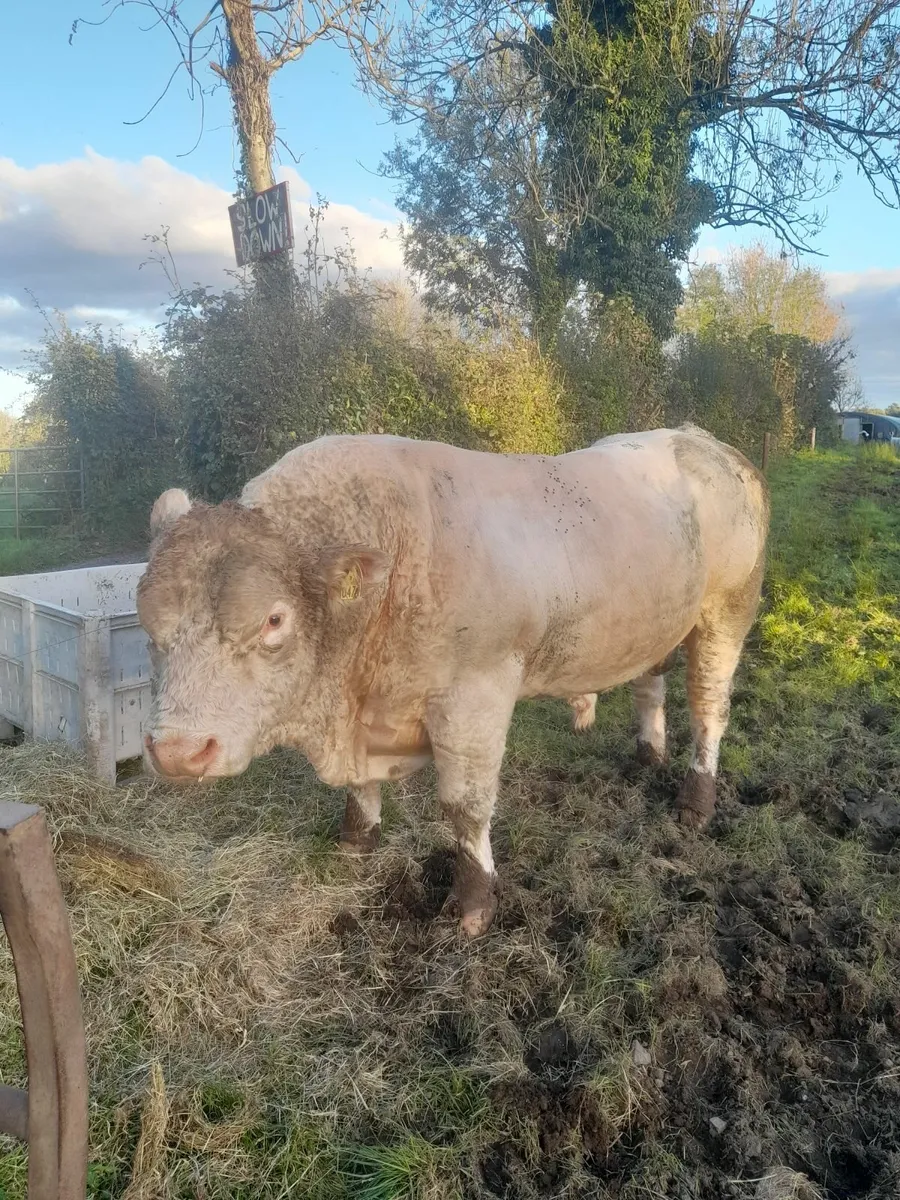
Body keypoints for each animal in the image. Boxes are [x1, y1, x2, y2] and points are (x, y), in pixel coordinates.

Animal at [137, 425, 769, 938]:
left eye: (273, 619)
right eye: (147, 620)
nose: (178, 752)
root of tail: (699, 438)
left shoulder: (475, 696)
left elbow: (465, 807)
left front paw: (473, 901)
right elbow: (360, 793)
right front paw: (355, 842)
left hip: (726, 613)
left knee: (709, 709)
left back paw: (696, 800)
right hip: (658, 621)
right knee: (649, 685)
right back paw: (647, 755)